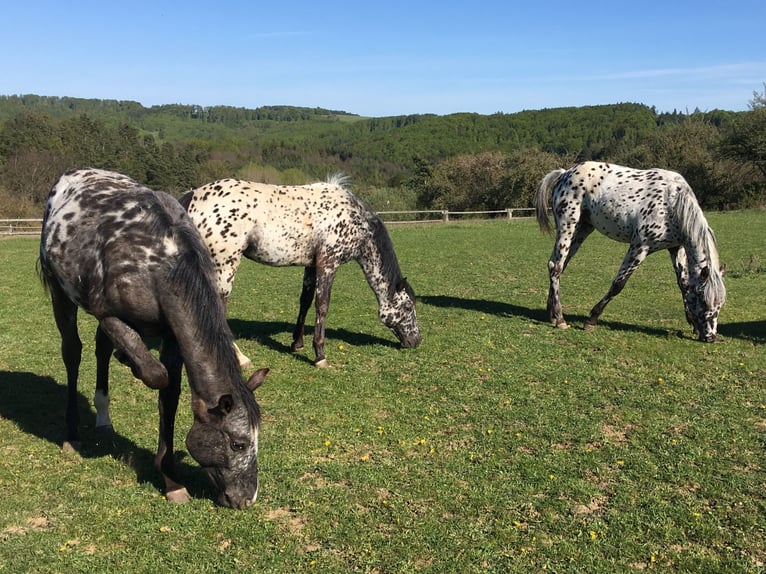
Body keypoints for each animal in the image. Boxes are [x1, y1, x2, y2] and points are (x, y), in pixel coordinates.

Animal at [39, 168, 268, 509]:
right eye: (238, 444)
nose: (247, 498)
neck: (159, 263)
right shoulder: (108, 316)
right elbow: (155, 375)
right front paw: (132, 362)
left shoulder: (172, 335)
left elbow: (169, 394)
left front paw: (171, 479)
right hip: (60, 293)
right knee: (73, 352)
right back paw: (72, 433)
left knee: (101, 350)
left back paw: (104, 416)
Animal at [178, 175, 421, 368]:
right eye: (408, 307)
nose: (416, 341)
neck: (355, 218)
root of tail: (193, 195)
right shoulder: (328, 263)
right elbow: (322, 305)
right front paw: (320, 355)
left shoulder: (311, 266)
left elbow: (305, 301)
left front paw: (297, 343)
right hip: (225, 265)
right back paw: (241, 358)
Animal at [535, 161, 726, 342]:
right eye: (703, 300)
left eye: (720, 304)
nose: (710, 337)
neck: (672, 203)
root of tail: (564, 173)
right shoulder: (640, 247)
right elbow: (618, 284)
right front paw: (591, 319)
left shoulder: (675, 248)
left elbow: (684, 284)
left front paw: (692, 323)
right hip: (567, 226)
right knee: (556, 267)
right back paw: (560, 319)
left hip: (582, 229)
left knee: (558, 265)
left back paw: (552, 313)